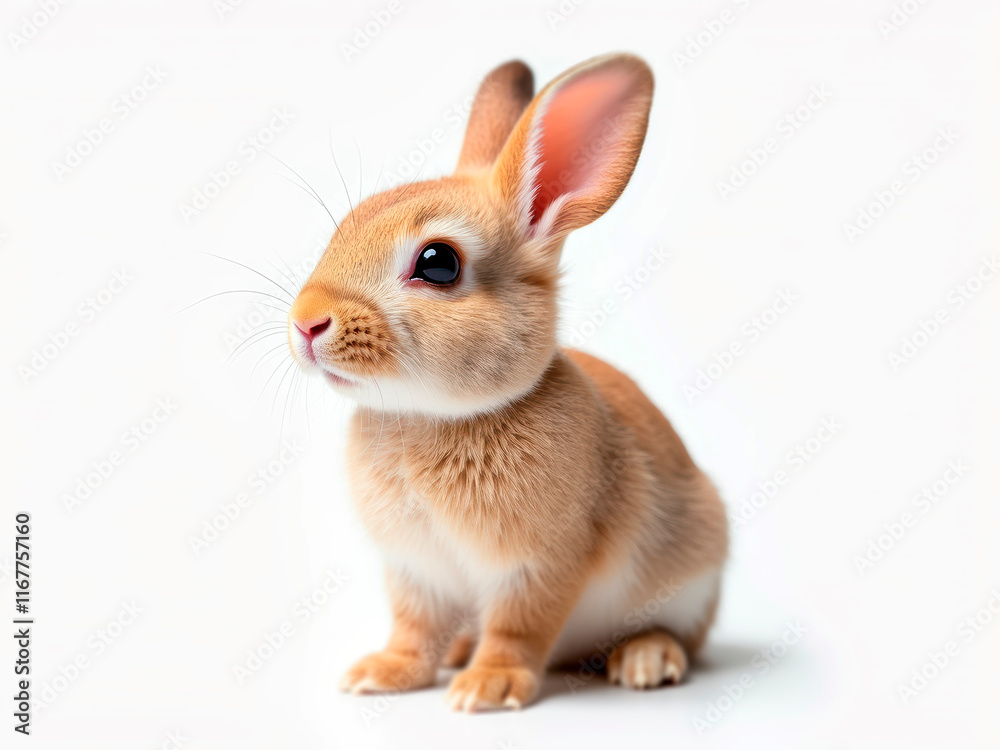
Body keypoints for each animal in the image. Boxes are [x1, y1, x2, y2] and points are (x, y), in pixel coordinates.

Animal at [286, 53, 728, 711]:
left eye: (438, 263)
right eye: (346, 225)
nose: (306, 321)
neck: (438, 417)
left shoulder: (539, 566)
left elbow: (519, 628)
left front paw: (487, 688)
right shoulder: (415, 572)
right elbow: (412, 628)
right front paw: (380, 673)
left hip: (689, 582)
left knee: (678, 635)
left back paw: (647, 660)